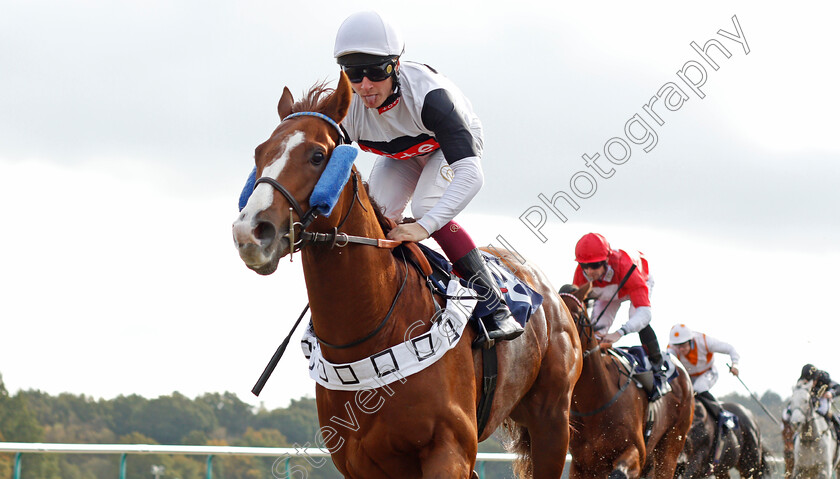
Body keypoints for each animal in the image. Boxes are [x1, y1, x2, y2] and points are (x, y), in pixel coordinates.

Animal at [233, 72, 580, 479]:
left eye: (317, 156)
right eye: (259, 154)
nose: (250, 232)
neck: (371, 337)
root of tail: (547, 292)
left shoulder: (450, 451)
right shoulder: (359, 464)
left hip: (551, 421)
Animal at [556, 284, 696, 478]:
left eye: (575, 317)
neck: (595, 402)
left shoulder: (636, 452)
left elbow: (619, 472)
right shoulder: (581, 465)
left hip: (670, 448)